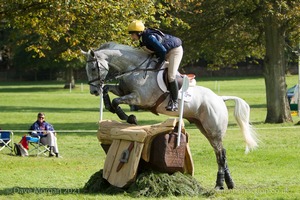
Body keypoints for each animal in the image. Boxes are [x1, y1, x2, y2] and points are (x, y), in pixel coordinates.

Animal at [82, 41, 258, 189]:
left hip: (214, 129)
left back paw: (219, 184)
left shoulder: (140, 98)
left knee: (220, 154)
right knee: (221, 152)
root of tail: (220, 98)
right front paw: (111, 107)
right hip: (204, 128)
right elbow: (109, 91)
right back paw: (229, 183)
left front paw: (129, 117)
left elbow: (117, 101)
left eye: (93, 68)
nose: (93, 91)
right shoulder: (123, 90)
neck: (135, 69)